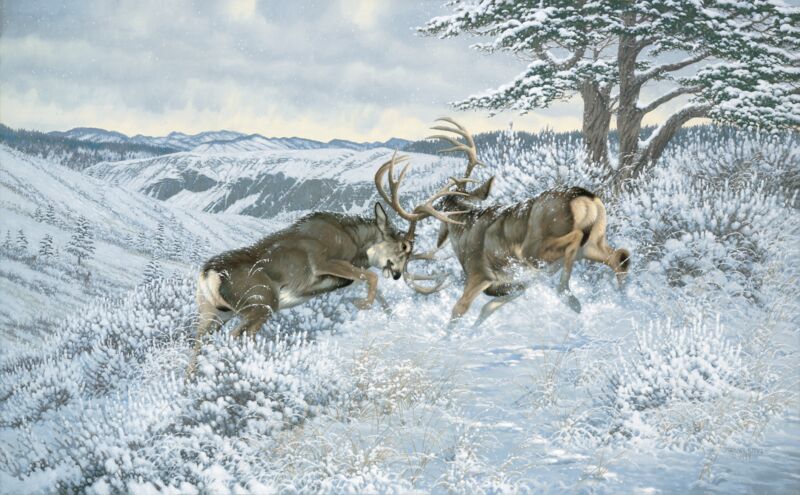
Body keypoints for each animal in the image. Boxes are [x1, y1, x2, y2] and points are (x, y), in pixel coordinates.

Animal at [187, 159, 466, 377]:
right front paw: (362, 304)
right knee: (237, 335)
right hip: (261, 304)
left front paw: (389, 317)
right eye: (404, 246)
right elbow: (370, 277)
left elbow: (374, 287)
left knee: (197, 345)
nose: (397, 274)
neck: (354, 241)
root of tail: (208, 274)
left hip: (213, 312)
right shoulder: (325, 261)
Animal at [378, 118, 631, 327]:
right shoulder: (515, 285)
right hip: (594, 242)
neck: (465, 231)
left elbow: (459, 310)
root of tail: (584, 196)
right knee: (619, 256)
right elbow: (487, 310)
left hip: (535, 250)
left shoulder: (479, 274)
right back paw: (622, 302)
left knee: (577, 241)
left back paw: (570, 297)